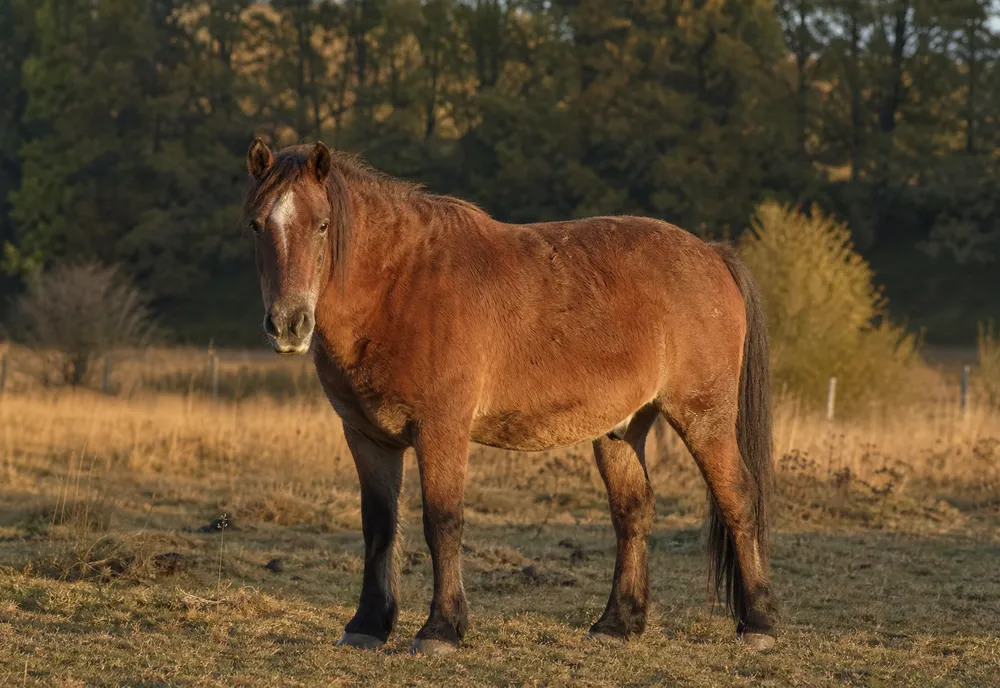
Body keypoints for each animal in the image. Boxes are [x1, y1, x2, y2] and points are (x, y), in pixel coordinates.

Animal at [241, 138, 778, 655]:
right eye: (256, 225)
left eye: (322, 225)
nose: (288, 324)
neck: (400, 287)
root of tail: (711, 254)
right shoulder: (367, 436)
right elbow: (379, 526)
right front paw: (367, 626)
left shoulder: (441, 430)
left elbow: (443, 521)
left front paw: (441, 630)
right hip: (622, 428)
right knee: (633, 512)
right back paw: (617, 624)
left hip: (703, 418)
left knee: (738, 500)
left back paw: (759, 623)